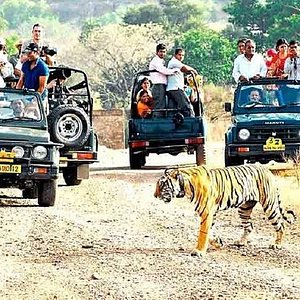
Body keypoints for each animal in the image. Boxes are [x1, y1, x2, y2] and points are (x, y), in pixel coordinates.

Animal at [154, 163, 296, 256]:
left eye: (162, 184)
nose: (155, 196)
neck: (185, 186)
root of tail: (266, 169)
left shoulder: (206, 212)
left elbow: (203, 233)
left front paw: (199, 251)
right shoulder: (211, 213)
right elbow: (210, 232)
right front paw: (218, 242)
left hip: (269, 205)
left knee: (280, 225)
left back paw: (277, 244)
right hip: (244, 208)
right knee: (249, 226)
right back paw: (241, 242)